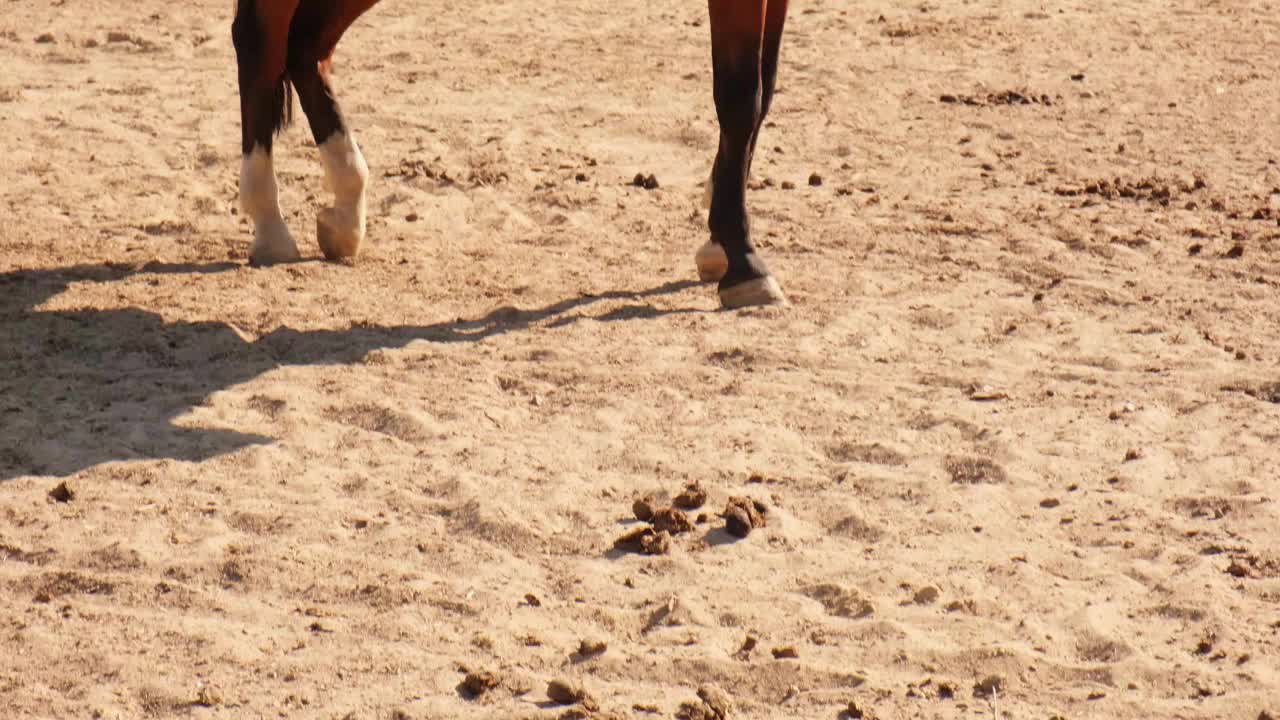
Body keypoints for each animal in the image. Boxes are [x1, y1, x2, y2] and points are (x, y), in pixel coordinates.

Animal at [231, 0, 788, 304]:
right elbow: (741, 94)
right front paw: (743, 263)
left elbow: (763, 92)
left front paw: (719, 242)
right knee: (260, 38)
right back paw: (271, 225)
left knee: (305, 47)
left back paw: (346, 211)